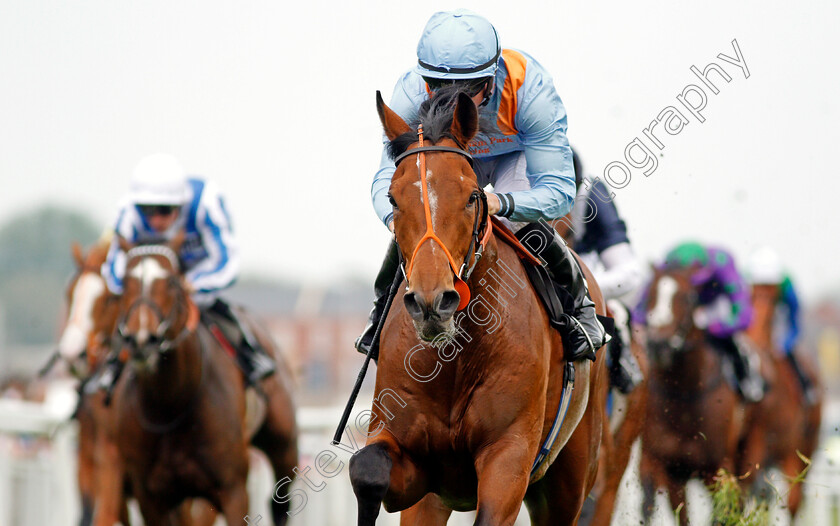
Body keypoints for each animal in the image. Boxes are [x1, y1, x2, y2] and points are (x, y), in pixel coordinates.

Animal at [94, 237, 298, 524]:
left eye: (171, 281)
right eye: (124, 282)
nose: (142, 340)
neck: (173, 403)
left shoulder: (233, 489)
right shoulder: (151, 496)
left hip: (283, 443)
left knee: (280, 499)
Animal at [640, 268, 752, 526]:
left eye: (687, 297)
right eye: (650, 294)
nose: (659, 344)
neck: (685, 396)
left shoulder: (717, 467)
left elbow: (721, 513)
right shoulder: (673, 468)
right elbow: (682, 514)